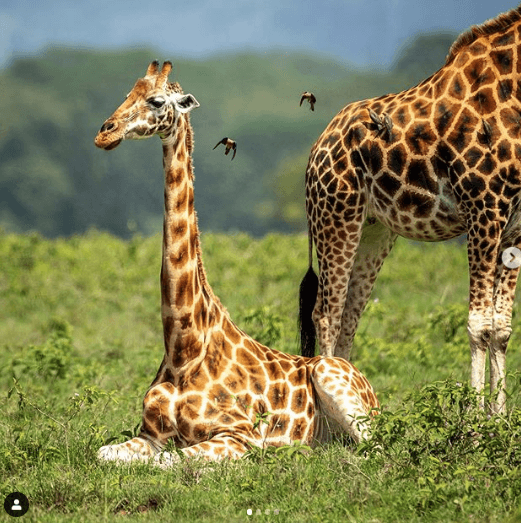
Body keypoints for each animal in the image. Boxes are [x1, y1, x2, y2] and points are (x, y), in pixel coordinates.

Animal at [94, 61, 378, 466]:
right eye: (127, 93)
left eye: (156, 100)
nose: (105, 133)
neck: (182, 349)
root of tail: (371, 387)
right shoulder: (150, 435)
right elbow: (105, 453)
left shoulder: (238, 435)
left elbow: (171, 463)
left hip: (334, 380)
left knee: (375, 449)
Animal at [298, 4, 521, 414]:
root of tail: (316, 149)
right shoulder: (484, 209)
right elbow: (479, 326)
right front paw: (476, 422)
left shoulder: (514, 226)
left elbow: (501, 328)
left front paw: (499, 419)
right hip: (335, 216)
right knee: (327, 314)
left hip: (374, 231)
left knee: (350, 315)